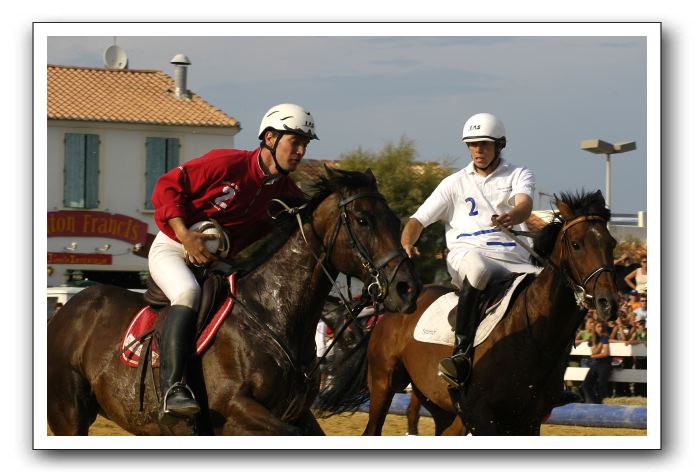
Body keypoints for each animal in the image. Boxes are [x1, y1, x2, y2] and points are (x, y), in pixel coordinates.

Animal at [47, 167, 421, 436]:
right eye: (363, 220)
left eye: (396, 221)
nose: (407, 289)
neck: (274, 316)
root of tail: (64, 313)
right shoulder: (235, 411)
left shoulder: (297, 413)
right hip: (68, 416)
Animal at [317, 190, 618, 435]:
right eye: (577, 245)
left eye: (611, 243)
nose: (608, 303)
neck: (535, 336)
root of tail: (393, 305)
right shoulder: (482, 417)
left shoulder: (527, 422)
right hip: (382, 384)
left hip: (440, 406)